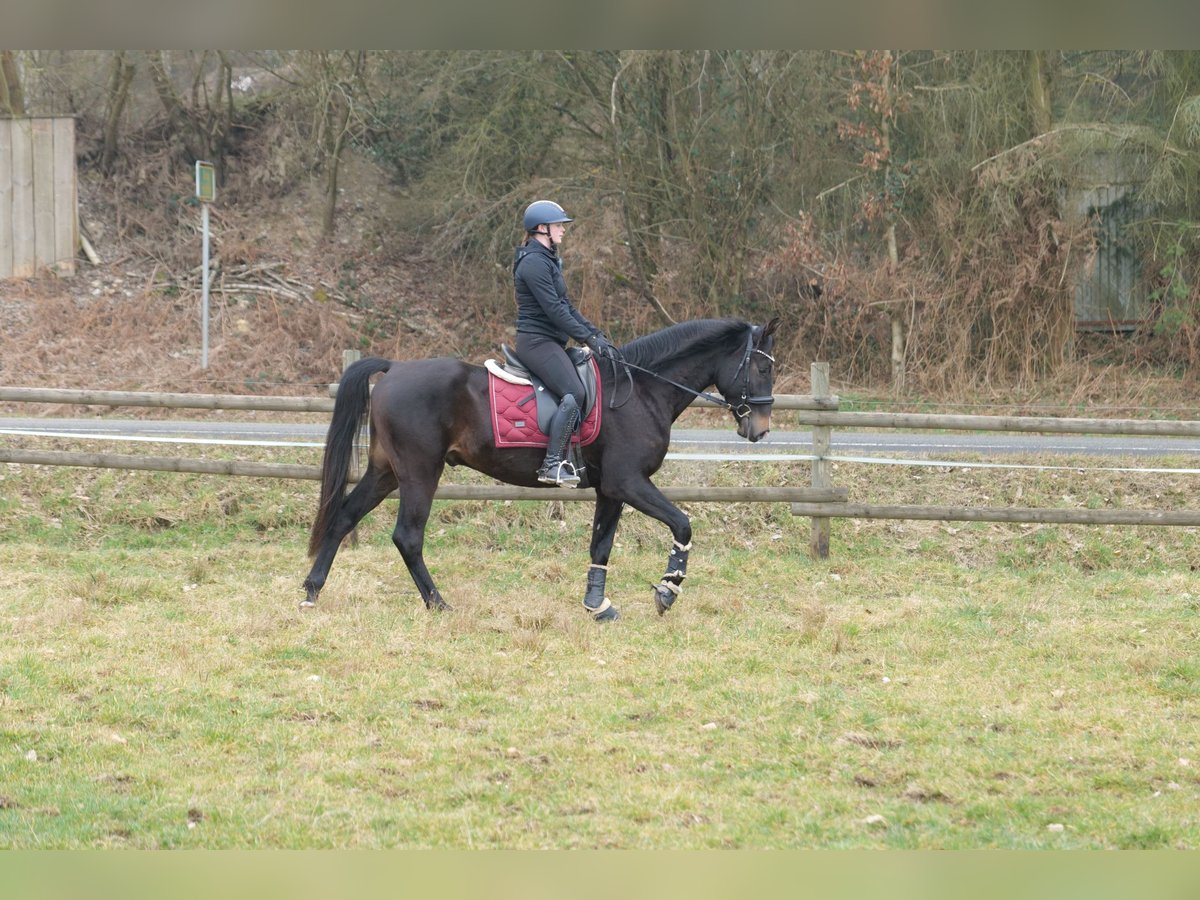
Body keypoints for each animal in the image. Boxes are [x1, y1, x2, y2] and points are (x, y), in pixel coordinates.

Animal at [304, 314, 782, 619]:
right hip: (420, 472)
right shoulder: (629, 482)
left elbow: (600, 547)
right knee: (407, 536)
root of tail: (395, 368)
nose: (760, 429)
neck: (643, 390)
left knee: (343, 517)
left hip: (386, 471)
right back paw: (438, 604)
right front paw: (667, 590)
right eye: (761, 367)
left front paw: (597, 606)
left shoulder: (610, 489)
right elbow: (682, 524)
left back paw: (311, 592)